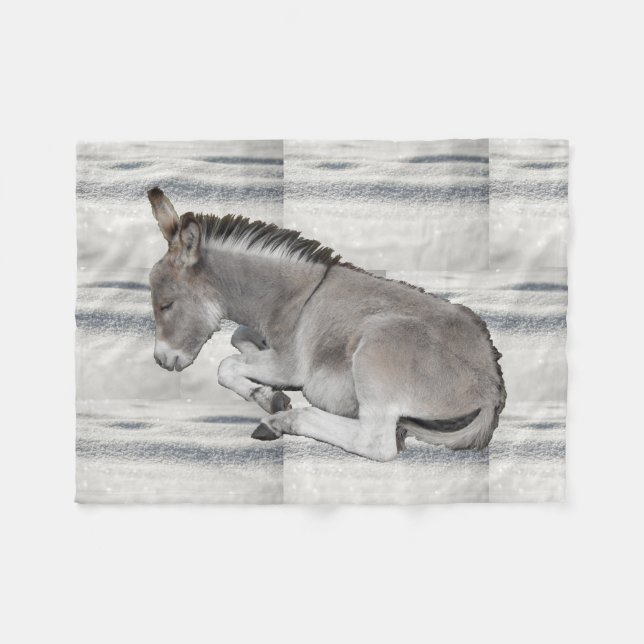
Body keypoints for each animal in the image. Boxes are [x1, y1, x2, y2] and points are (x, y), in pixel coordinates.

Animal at [147, 187, 506, 461]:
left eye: (166, 304)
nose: (161, 361)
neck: (290, 295)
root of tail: (491, 388)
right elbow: (238, 338)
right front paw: (266, 390)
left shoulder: (289, 366)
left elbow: (226, 365)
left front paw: (269, 396)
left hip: (377, 350)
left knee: (376, 442)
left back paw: (282, 421)